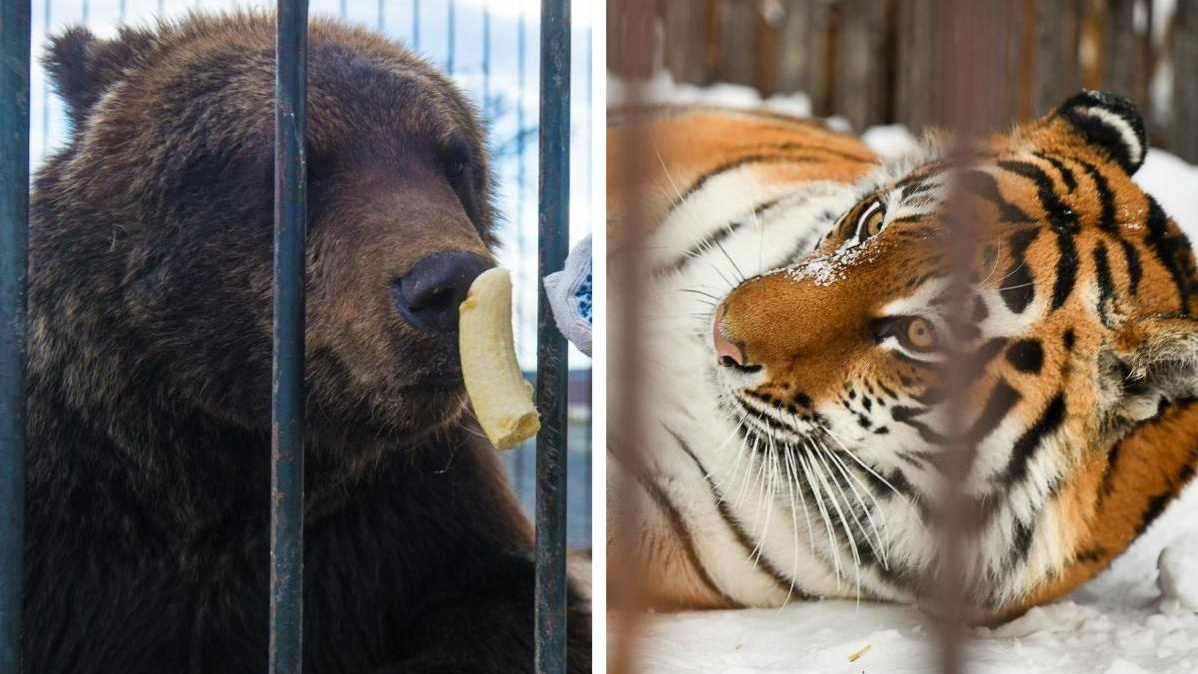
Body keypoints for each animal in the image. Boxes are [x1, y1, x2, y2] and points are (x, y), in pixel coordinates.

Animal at [22, 11, 589, 674]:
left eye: (453, 161)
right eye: (298, 166)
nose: (450, 284)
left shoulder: (411, 516)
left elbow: (509, 604)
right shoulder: (73, 512)